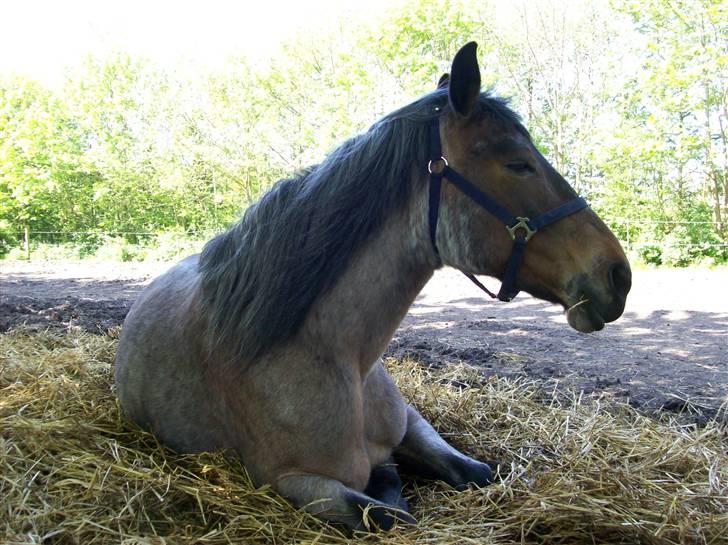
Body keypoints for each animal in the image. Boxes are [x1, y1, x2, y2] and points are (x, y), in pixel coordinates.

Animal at [115, 43, 632, 532]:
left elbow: (477, 472)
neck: (337, 354)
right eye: (518, 164)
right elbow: (388, 515)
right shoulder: (291, 481)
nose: (618, 275)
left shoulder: (413, 424)